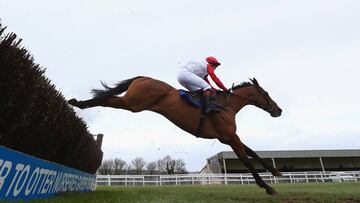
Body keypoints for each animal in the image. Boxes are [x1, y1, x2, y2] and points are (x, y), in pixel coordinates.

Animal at [67, 76, 282, 195]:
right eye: (266, 93)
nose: (278, 110)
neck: (226, 106)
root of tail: (142, 77)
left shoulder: (228, 137)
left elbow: (252, 152)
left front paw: (276, 172)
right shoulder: (229, 137)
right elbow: (246, 160)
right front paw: (267, 186)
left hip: (132, 103)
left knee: (106, 99)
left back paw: (77, 102)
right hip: (133, 103)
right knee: (106, 99)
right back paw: (77, 102)